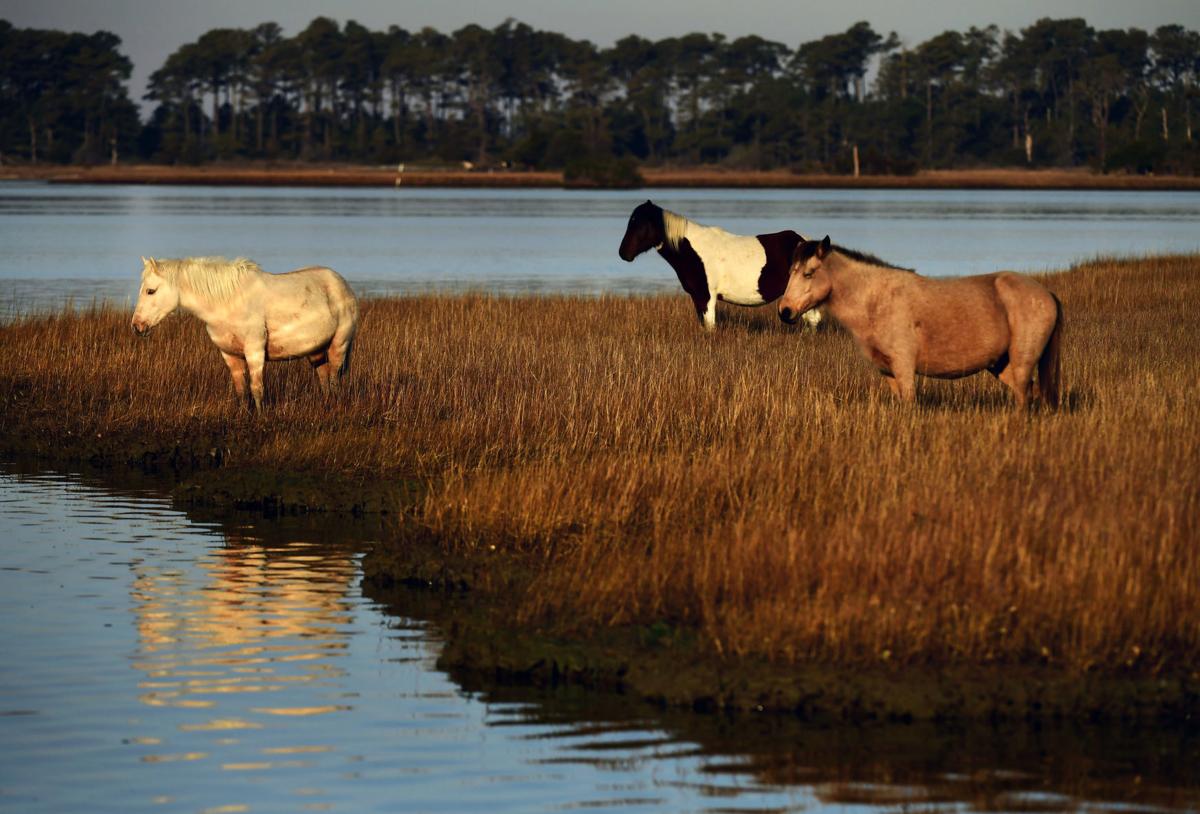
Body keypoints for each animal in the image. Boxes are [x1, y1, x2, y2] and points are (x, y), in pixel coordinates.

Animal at [131, 256, 359, 410]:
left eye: (151, 291)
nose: (137, 326)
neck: (229, 301)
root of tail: (343, 285)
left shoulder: (254, 351)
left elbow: (257, 388)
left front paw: (260, 418)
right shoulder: (230, 354)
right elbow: (241, 390)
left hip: (339, 344)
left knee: (334, 379)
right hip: (316, 351)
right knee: (324, 379)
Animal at [618, 200, 823, 331]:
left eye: (640, 224)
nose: (623, 253)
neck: (693, 250)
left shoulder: (707, 295)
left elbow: (710, 326)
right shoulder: (697, 296)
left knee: (812, 319)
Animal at [779, 236, 1062, 410]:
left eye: (809, 274)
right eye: (790, 272)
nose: (785, 311)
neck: (877, 299)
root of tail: (1046, 294)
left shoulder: (904, 367)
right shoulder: (888, 372)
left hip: (1022, 361)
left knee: (1024, 394)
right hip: (1001, 365)